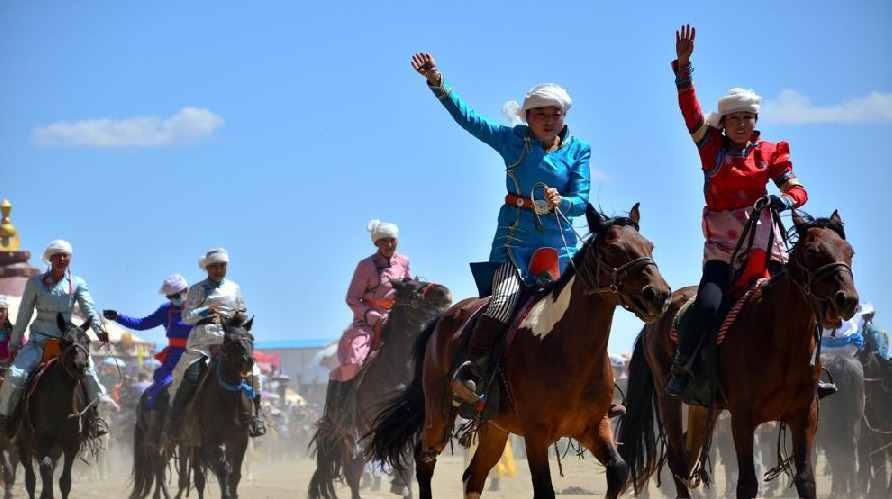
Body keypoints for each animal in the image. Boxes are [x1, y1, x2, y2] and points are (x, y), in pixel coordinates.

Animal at [15, 314, 99, 498]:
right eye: (65, 341)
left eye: (88, 341)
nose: (80, 365)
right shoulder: (42, 440)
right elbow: (46, 470)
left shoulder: (71, 444)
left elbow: (64, 482)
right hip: (24, 444)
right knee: (31, 480)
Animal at [177, 318, 254, 498]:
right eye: (231, 340)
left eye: (251, 338)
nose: (248, 361)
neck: (229, 400)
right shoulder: (212, 441)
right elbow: (223, 471)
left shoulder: (240, 439)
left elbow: (235, 474)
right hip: (190, 443)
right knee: (195, 477)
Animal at [310, 278, 456, 499]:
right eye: (412, 288)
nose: (444, 292)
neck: (399, 368)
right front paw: (400, 483)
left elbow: (408, 460)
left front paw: (402, 484)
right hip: (348, 436)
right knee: (353, 471)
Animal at [364, 204, 668, 499]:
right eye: (612, 247)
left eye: (650, 246)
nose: (659, 295)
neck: (567, 349)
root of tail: (441, 320)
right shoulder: (535, 435)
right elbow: (544, 491)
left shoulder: (594, 427)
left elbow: (618, 470)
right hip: (439, 414)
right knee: (425, 459)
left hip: (494, 428)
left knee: (473, 477)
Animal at [616, 209, 860, 498]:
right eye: (813, 251)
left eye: (849, 251)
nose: (847, 300)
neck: (780, 338)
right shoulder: (743, 417)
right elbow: (746, 484)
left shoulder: (805, 416)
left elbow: (805, 479)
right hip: (668, 399)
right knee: (677, 459)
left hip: (702, 407)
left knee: (687, 454)